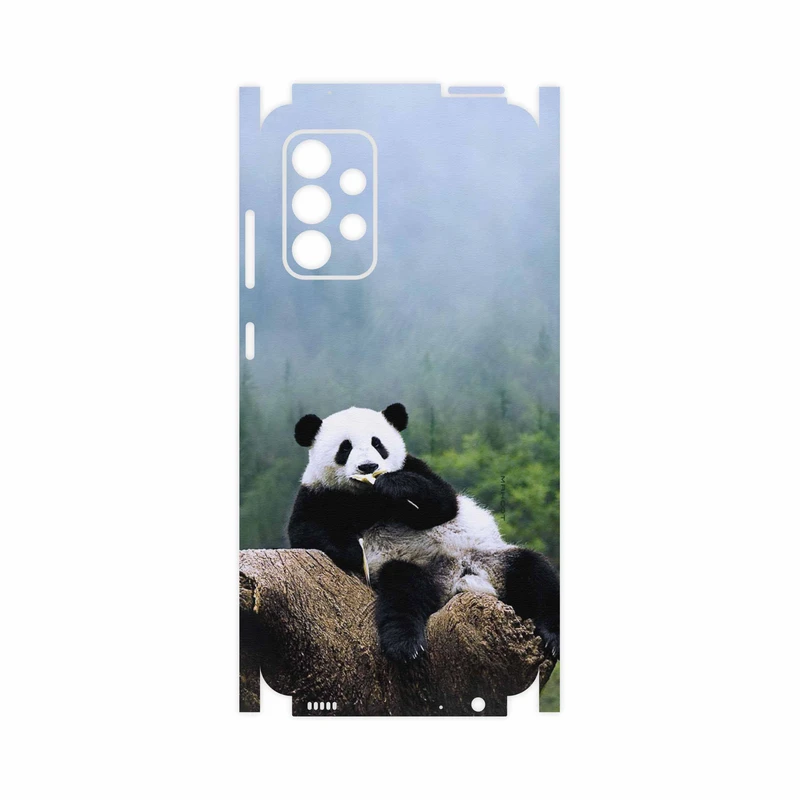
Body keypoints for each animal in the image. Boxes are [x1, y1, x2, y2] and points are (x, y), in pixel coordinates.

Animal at [288, 403, 560, 662]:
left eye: (378, 443)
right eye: (345, 448)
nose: (368, 466)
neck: (367, 497)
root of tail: (459, 579)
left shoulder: (415, 467)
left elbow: (443, 503)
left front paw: (394, 485)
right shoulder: (318, 493)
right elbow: (306, 531)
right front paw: (356, 551)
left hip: (492, 558)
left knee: (535, 573)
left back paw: (553, 637)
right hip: (415, 568)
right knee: (403, 591)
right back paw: (405, 645)